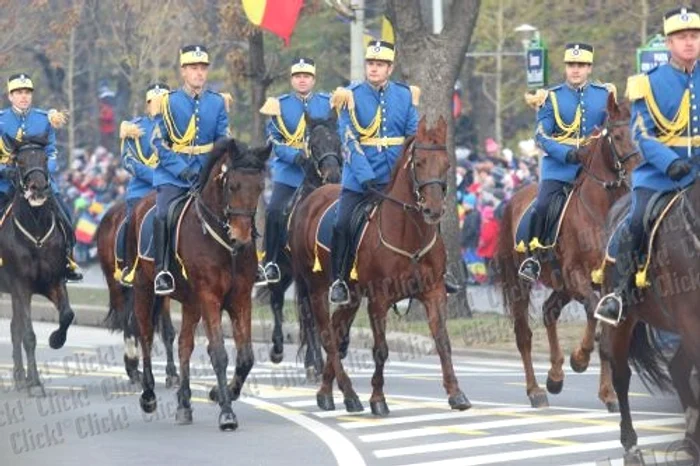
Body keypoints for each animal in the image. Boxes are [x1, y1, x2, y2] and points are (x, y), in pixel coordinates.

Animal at [98, 200, 180, 386]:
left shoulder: (163, 292)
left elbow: (167, 331)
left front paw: (172, 372)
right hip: (115, 284)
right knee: (125, 320)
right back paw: (132, 364)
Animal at [131, 140, 270, 432]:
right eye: (233, 186)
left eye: (260, 187)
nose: (241, 237)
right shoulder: (209, 297)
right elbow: (218, 354)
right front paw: (227, 413)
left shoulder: (241, 298)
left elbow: (246, 357)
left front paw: (221, 393)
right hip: (144, 289)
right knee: (145, 336)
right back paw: (148, 395)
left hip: (190, 302)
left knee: (184, 345)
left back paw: (184, 403)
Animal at [290, 116, 470, 416]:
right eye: (419, 162)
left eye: (446, 163)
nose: (433, 210)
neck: (409, 234)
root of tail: (311, 199)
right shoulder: (379, 299)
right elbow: (381, 349)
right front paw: (378, 399)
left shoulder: (434, 292)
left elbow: (443, 342)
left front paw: (456, 394)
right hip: (316, 289)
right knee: (327, 336)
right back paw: (349, 394)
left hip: (351, 296)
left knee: (338, 334)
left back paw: (328, 393)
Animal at [492, 94, 640, 408]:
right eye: (618, 136)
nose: (639, 173)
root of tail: (514, 200)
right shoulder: (576, 275)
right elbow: (592, 313)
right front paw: (580, 358)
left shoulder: (606, 283)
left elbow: (603, 330)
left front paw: (608, 393)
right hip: (521, 283)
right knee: (523, 334)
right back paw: (536, 390)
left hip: (560, 284)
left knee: (549, 312)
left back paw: (555, 377)